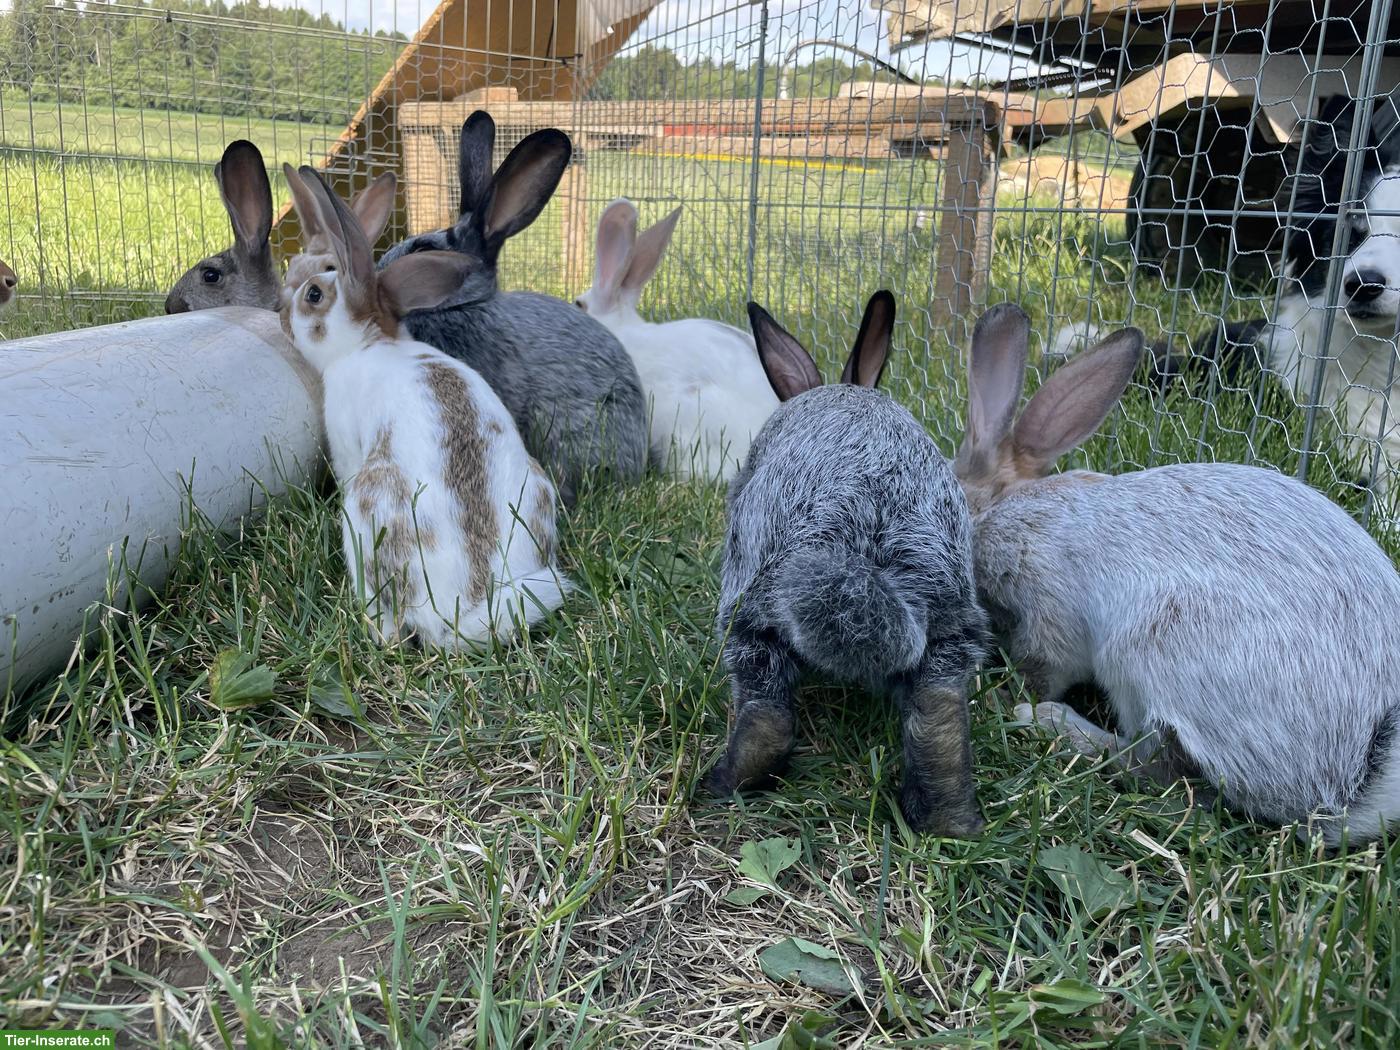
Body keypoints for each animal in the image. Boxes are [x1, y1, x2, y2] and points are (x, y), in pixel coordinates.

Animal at [281, 165, 569, 649]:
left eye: (314, 294)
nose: (282, 318)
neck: (368, 344)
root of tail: (457, 608)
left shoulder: (345, 442)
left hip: (364, 512)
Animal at [704, 291, 990, 837]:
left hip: (751, 613)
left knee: (769, 713)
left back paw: (722, 782)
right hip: (949, 630)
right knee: (938, 714)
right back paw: (949, 820)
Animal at [957, 303, 1400, 846]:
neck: (996, 509)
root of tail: (1344, 786)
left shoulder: (1047, 607)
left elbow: (1043, 665)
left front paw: (1006, 698)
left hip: (1146, 647)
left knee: (1158, 770)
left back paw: (1053, 725)